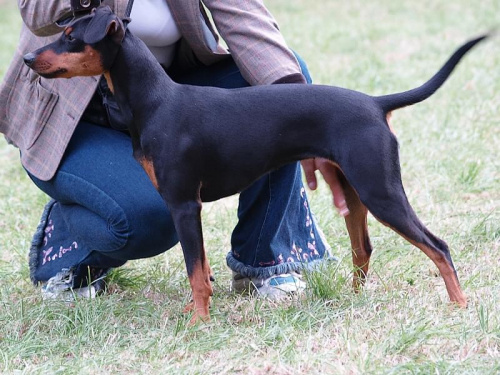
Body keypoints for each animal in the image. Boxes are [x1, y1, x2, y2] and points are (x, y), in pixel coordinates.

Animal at [23, 5, 488, 324]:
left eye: (71, 37)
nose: (29, 60)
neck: (155, 101)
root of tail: (376, 103)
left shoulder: (183, 205)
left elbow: (195, 271)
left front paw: (198, 321)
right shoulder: (183, 207)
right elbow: (201, 268)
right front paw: (199, 313)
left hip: (382, 191)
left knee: (439, 247)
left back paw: (460, 305)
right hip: (356, 190)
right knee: (364, 248)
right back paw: (356, 298)